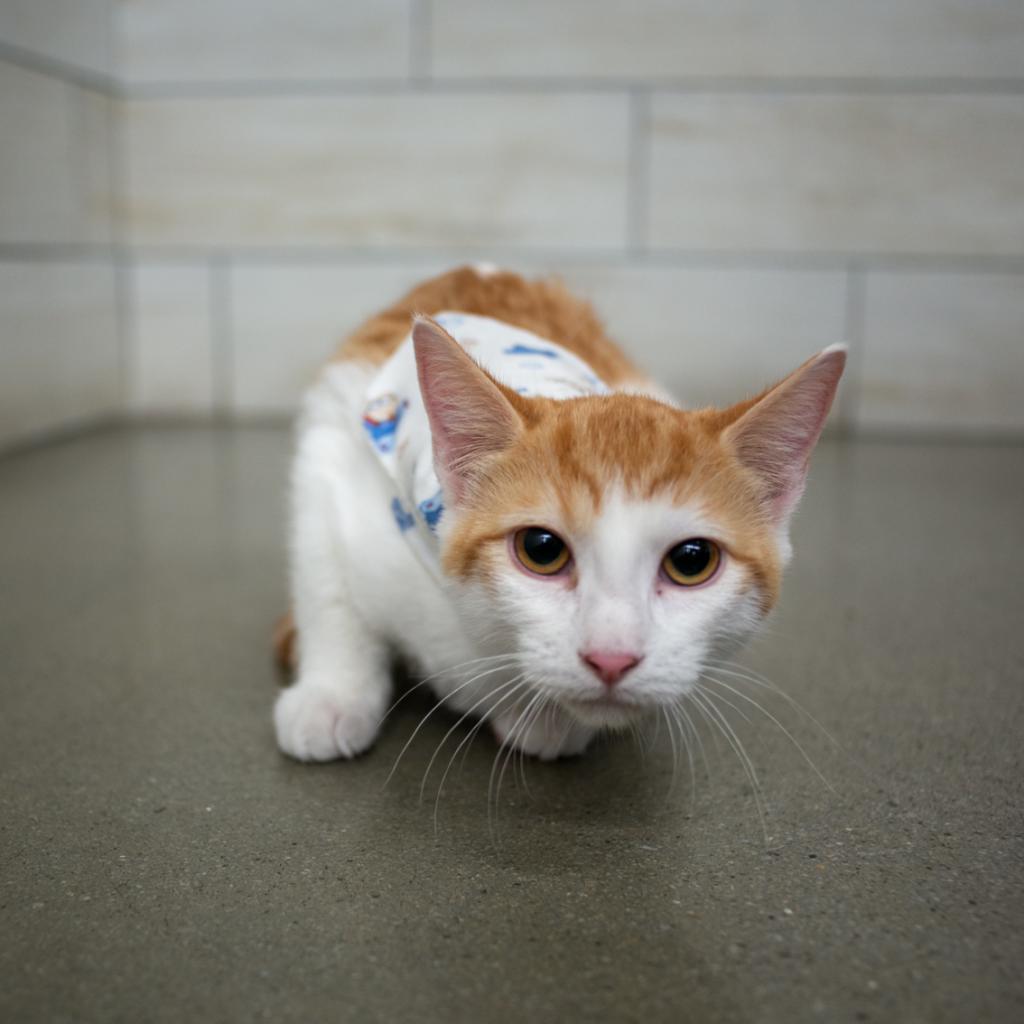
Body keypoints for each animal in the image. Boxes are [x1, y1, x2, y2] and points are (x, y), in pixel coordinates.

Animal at [276, 264, 843, 761]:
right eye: (541, 550)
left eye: (691, 561)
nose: (611, 659)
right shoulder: (337, 474)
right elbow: (328, 588)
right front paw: (331, 695)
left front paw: (548, 721)